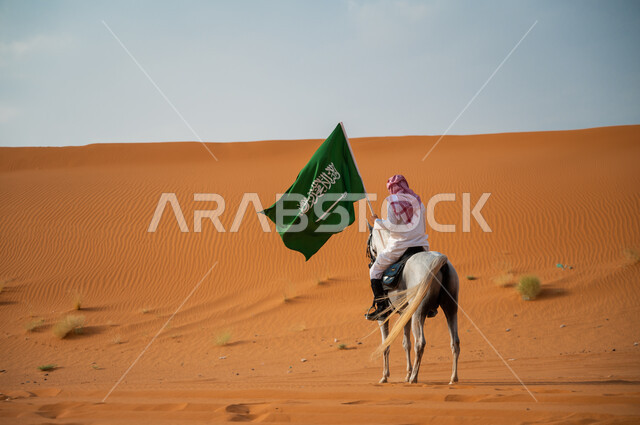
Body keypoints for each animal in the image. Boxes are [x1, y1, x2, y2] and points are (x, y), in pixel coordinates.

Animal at [366, 224, 461, 384]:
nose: (371, 262)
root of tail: (441, 261)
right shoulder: (405, 314)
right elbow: (406, 344)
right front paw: (406, 373)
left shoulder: (383, 317)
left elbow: (386, 344)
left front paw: (385, 376)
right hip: (450, 309)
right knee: (455, 342)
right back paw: (453, 377)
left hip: (419, 313)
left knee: (420, 343)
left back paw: (414, 377)